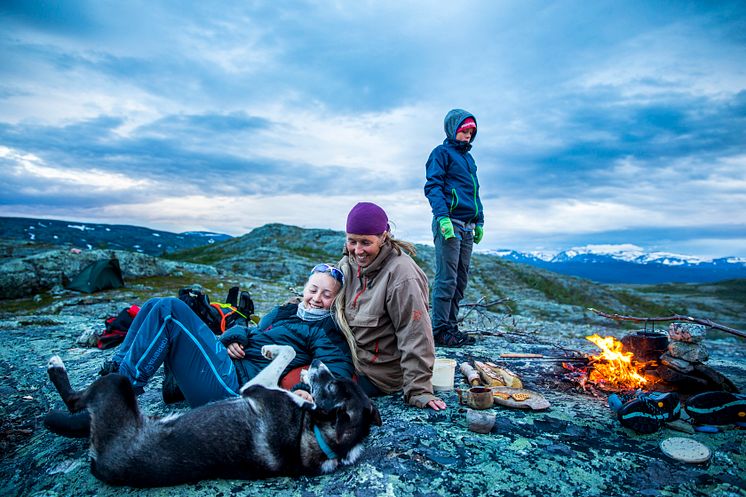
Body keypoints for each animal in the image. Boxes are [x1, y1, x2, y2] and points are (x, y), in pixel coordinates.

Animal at [45, 342, 380, 486]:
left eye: (332, 385)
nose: (318, 364)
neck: (321, 439)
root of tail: (98, 464)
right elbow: (289, 352)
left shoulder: (252, 388)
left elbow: (287, 351)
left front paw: (271, 349)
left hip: (116, 387)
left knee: (75, 401)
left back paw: (56, 366)